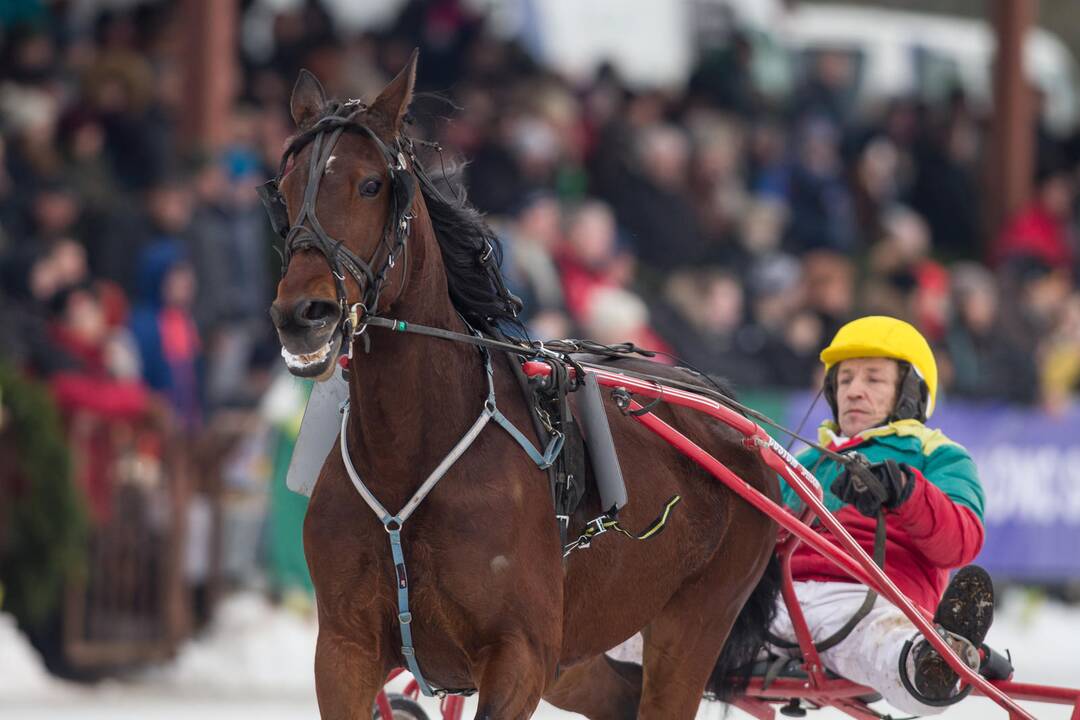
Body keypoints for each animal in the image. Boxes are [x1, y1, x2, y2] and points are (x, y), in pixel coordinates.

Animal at [265, 52, 781, 720]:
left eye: (371, 184)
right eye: (284, 191)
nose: (303, 314)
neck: (411, 452)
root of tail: (730, 415)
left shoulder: (521, 656)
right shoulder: (344, 650)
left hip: (693, 621)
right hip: (586, 644)